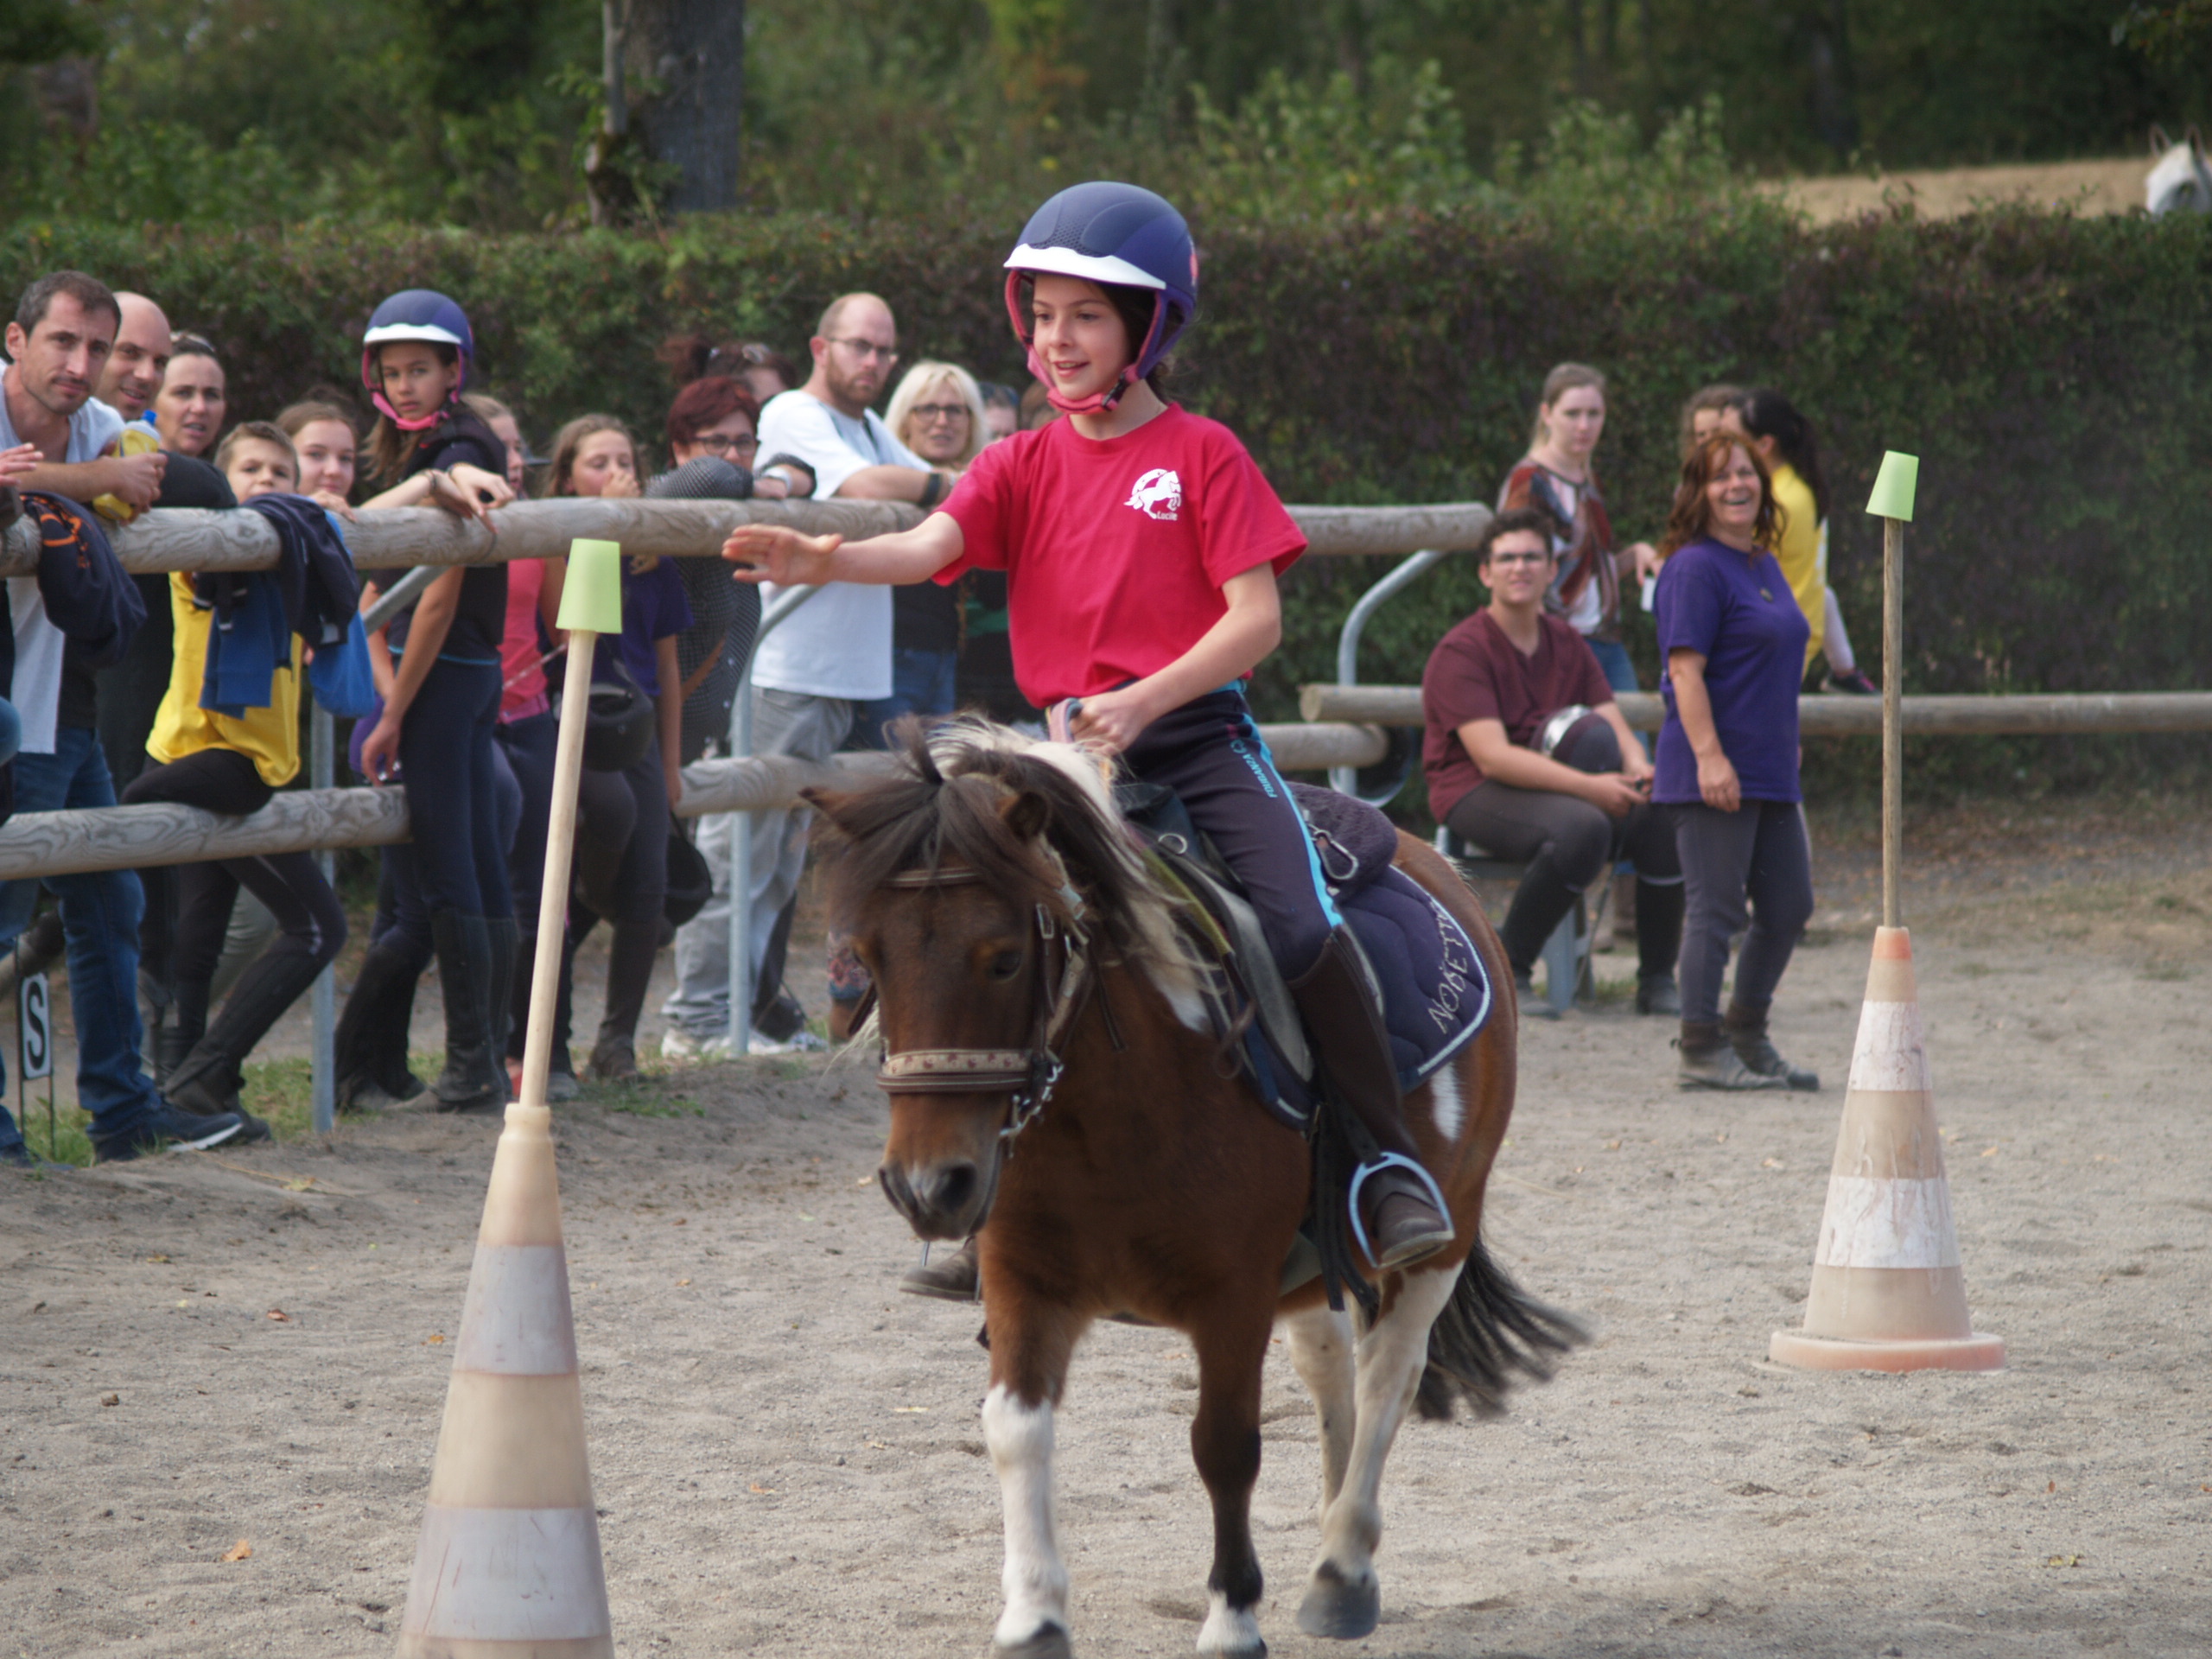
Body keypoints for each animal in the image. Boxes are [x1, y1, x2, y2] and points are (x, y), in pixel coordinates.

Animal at [809, 725, 1574, 1659]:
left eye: (1004, 958)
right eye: (868, 958)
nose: (928, 1187)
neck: (1108, 1109)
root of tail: (1438, 865)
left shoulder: (1230, 1296)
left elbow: (1225, 1446)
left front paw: (1231, 1616)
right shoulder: (1025, 1284)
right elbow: (1016, 1430)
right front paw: (1032, 1616)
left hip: (1444, 1232)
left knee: (1387, 1374)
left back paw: (1343, 1568)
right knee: (1330, 1370)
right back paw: (1327, 1535)